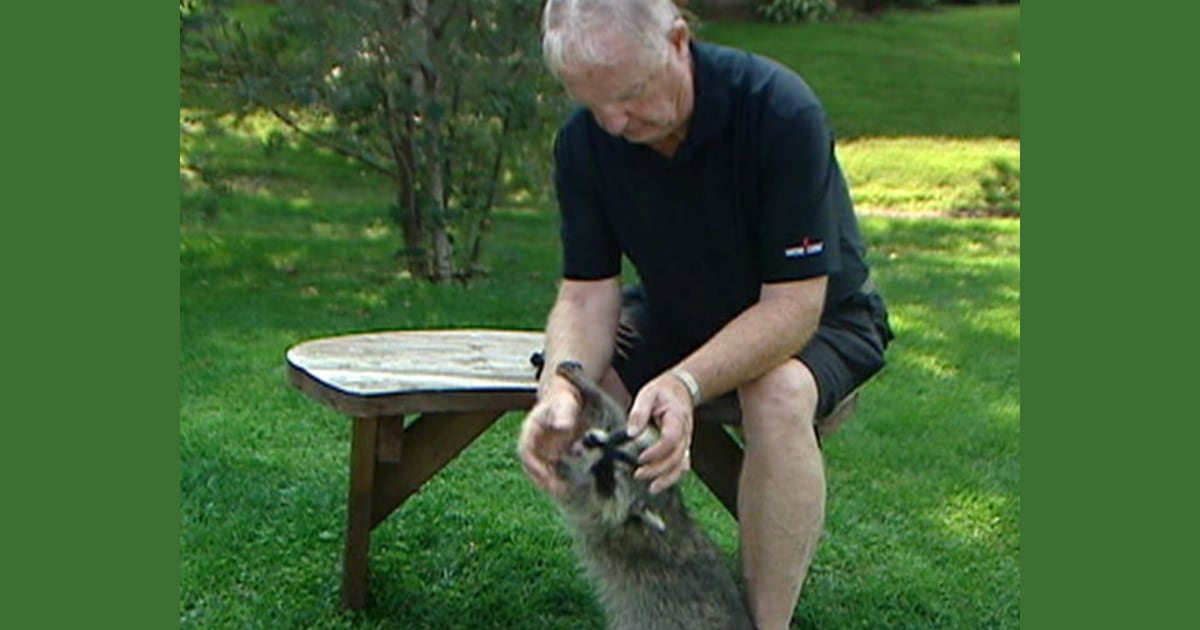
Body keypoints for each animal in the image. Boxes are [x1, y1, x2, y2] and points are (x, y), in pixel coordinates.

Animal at [552, 361, 755, 630]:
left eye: (605, 473)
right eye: (617, 437)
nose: (588, 439)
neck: (665, 504)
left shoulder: (605, 525)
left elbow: (575, 497)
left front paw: (561, 466)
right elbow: (611, 413)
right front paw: (587, 387)